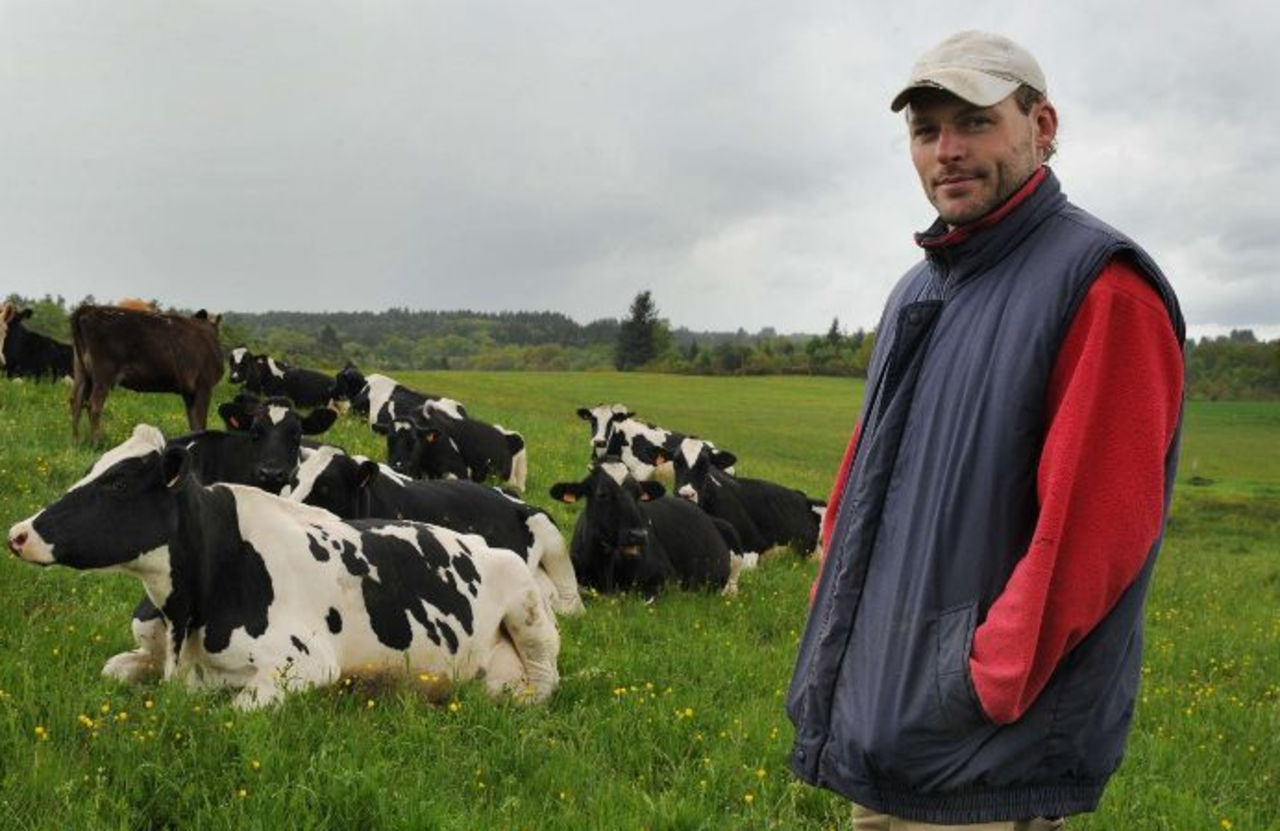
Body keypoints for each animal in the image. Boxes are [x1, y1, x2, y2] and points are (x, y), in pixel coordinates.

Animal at [69, 304, 223, 442]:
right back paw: (96, 442)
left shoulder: (188, 392)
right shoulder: (204, 385)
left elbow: (193, 423)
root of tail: (90, 308)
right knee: (94, 405)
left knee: (76, 401)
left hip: (81, 370)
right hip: (104, 372)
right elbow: (201, 423)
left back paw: (76, 441)